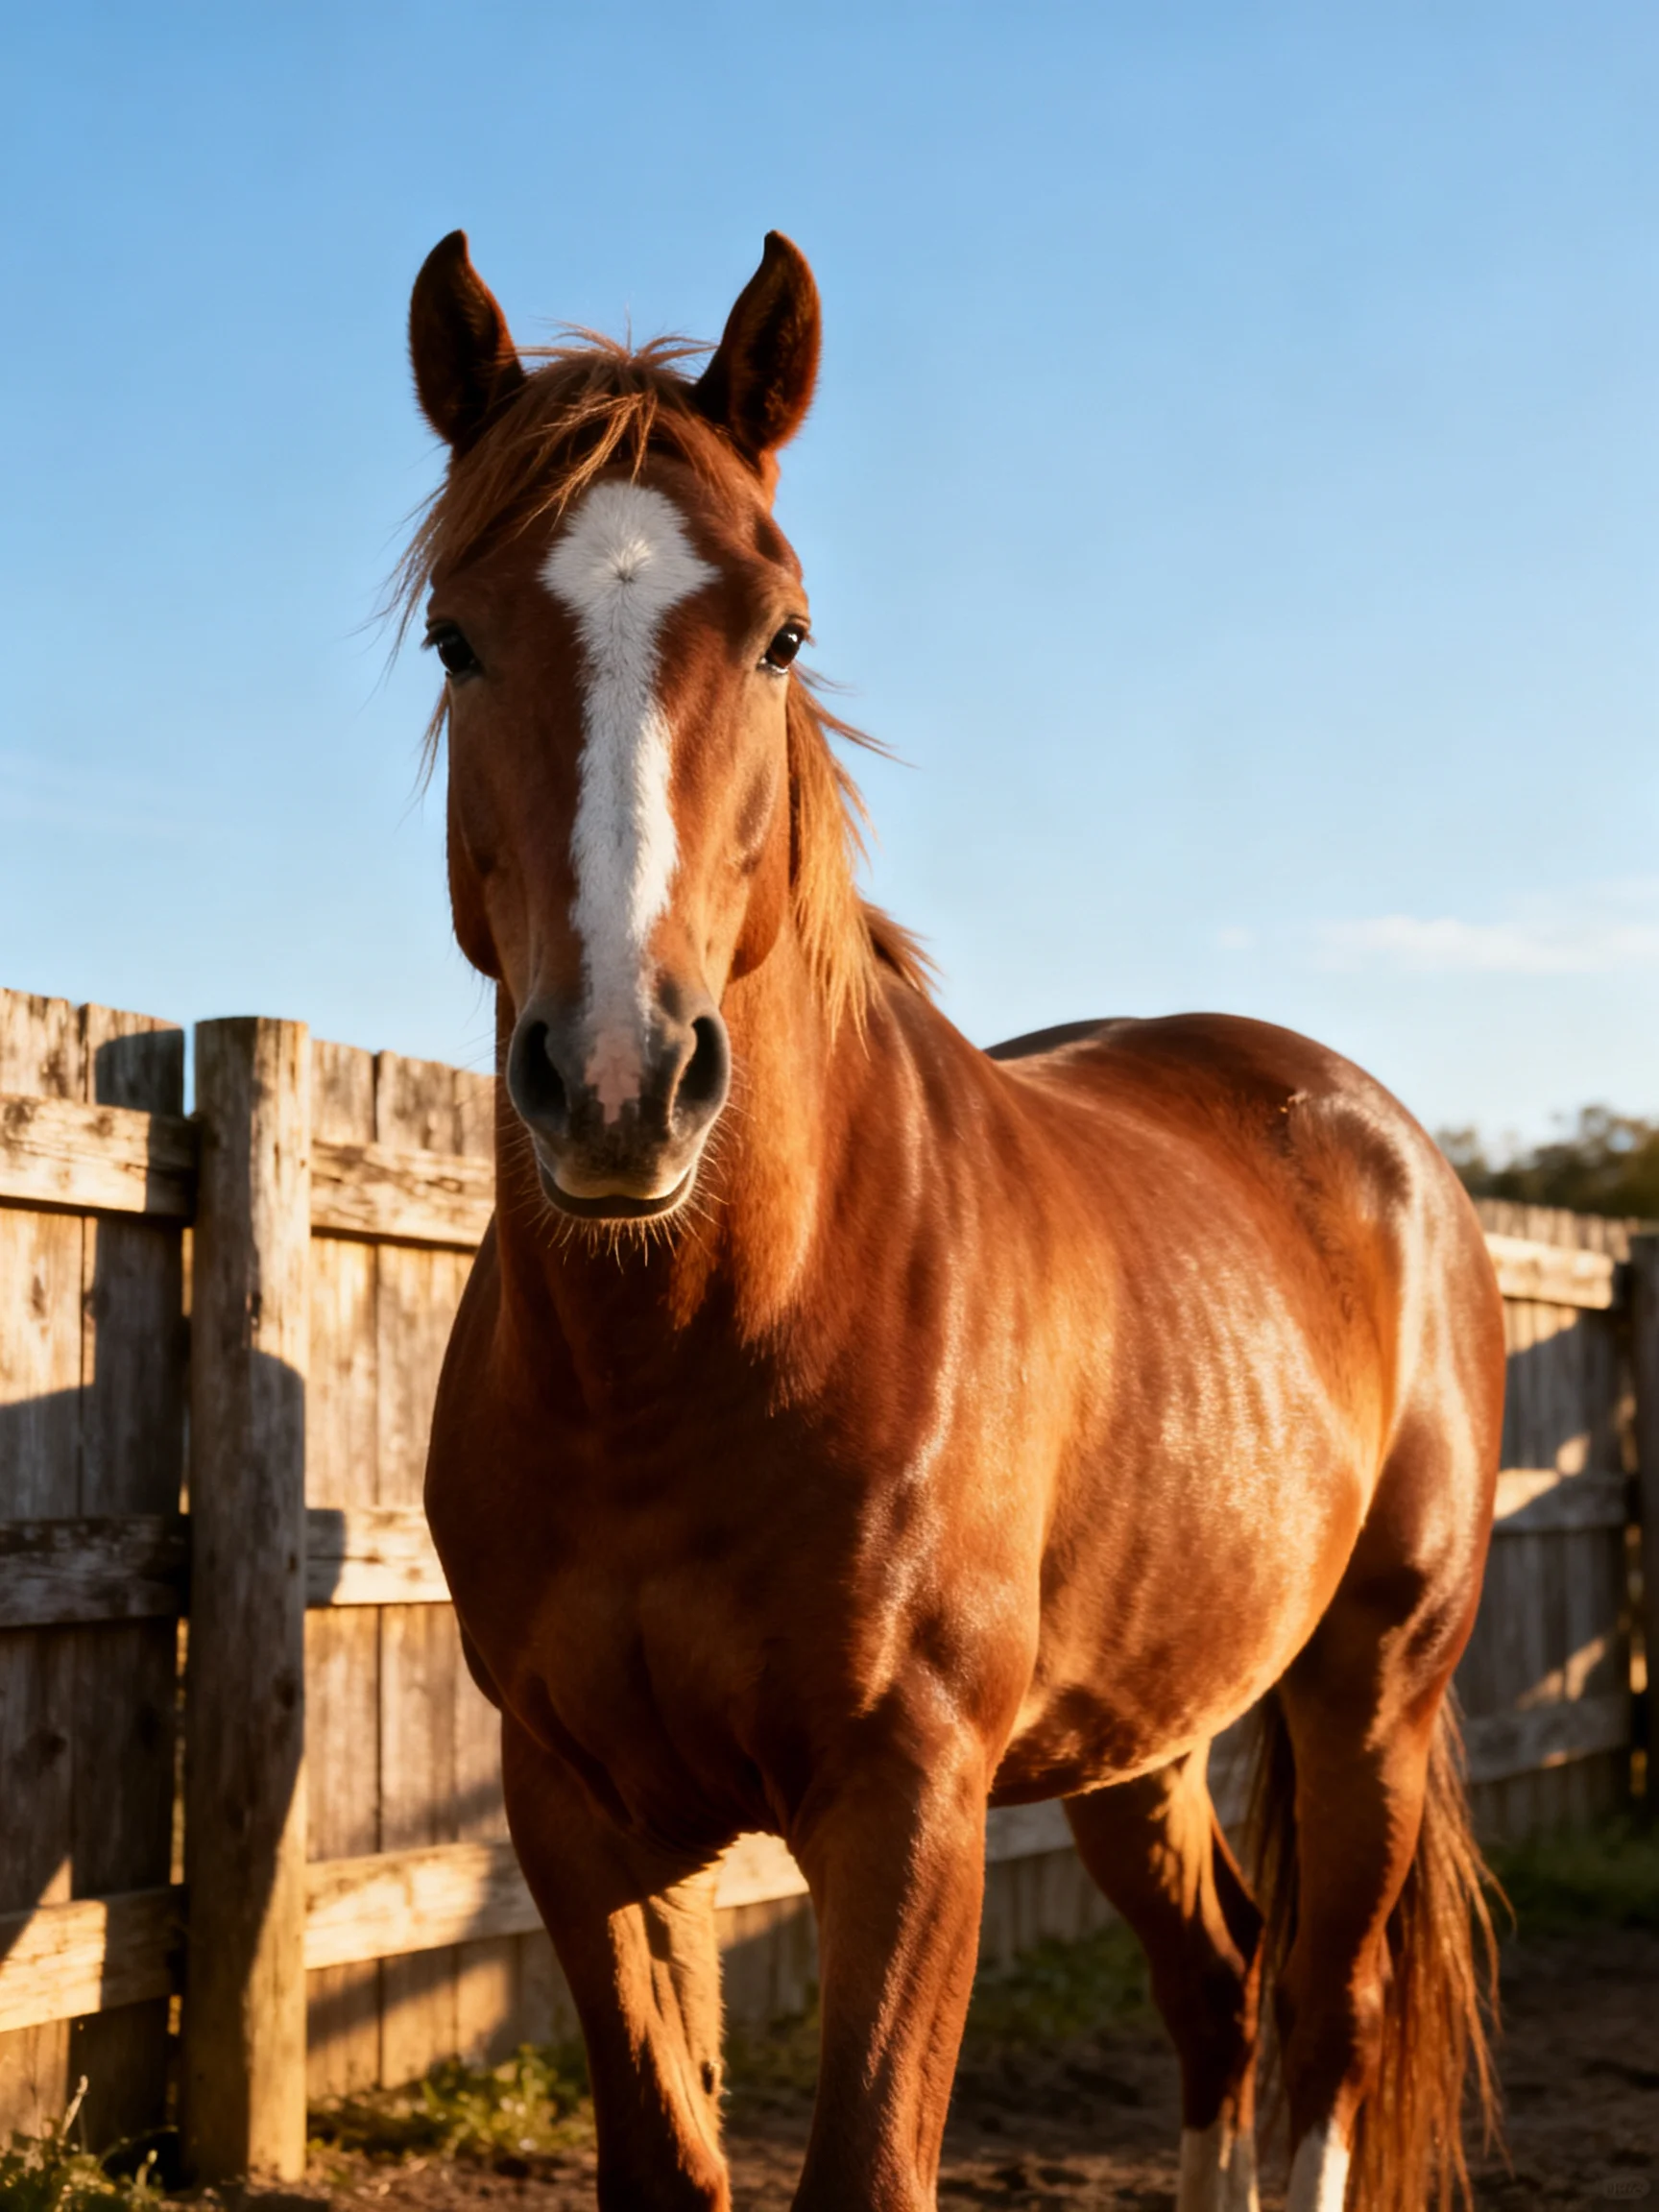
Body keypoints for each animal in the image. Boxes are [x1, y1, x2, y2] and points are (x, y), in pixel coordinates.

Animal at [407, 229, 1503, 2212]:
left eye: (782, 630)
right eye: (458, 633)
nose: (617, 1080)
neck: (687, 1357)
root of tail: (1378, 1137)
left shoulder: (906, 1801)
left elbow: (868, 2161)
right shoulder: (578, 1808)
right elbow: (666, 2157)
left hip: (1368, 1693)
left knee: (1320, 2019)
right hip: (1143, 1737)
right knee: (1218, 1994)